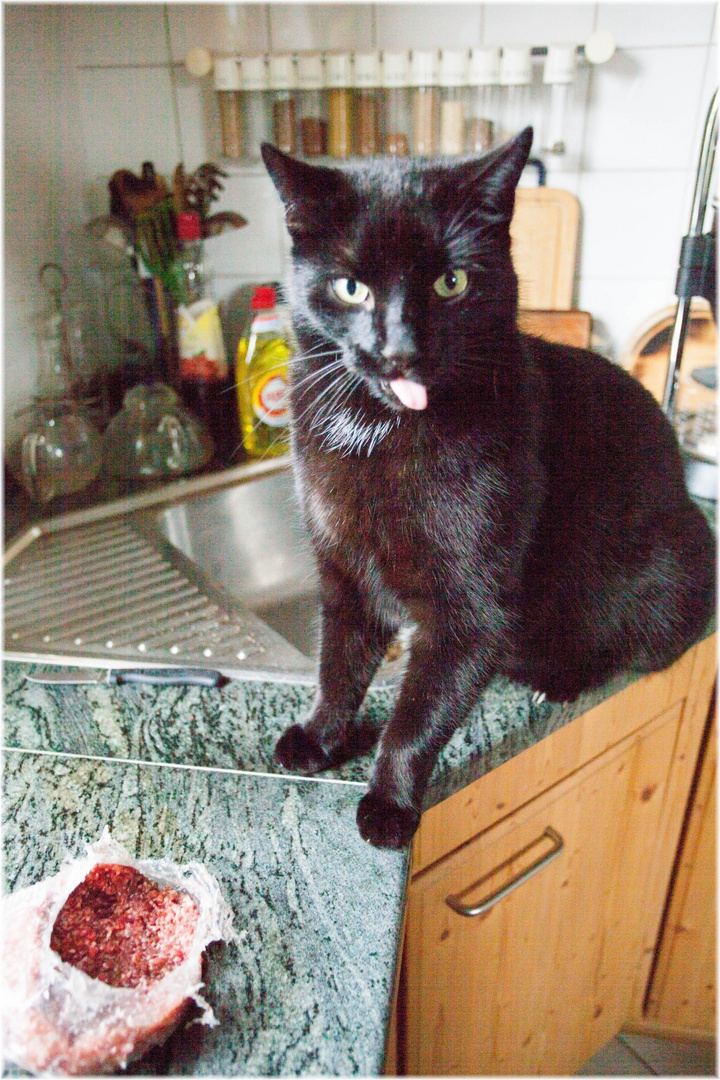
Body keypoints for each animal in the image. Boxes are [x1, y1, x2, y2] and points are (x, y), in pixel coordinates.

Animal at [260, 130, 716, 846]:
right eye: (350, 287)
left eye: (451, 282)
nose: (399, 350)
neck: (381, 432)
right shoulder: (344, 571)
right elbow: (338, 666)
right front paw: (320, 737)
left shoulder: (470, 610)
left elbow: (419, 719)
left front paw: (389, 804)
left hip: (657, 585)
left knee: (628, 645)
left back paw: (560, 680)